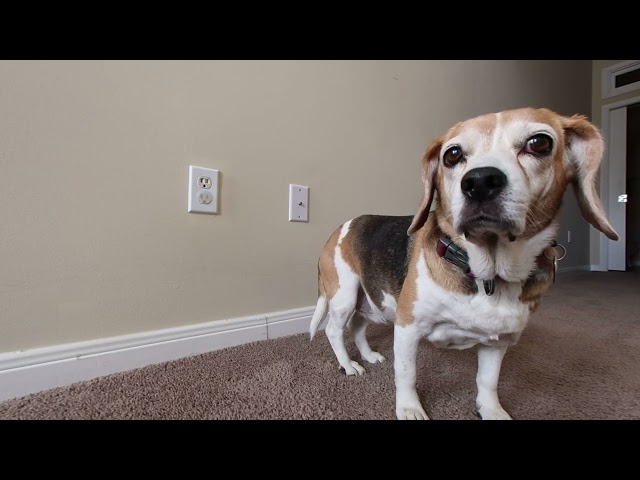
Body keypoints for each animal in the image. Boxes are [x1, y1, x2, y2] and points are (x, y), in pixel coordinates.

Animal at [310, 108, 620, 420]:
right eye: (452, 154)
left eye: (539, 143)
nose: (480, 182)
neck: (486, 273)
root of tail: (339, 228)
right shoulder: (408, 327)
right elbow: (407, 374)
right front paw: (410, 409)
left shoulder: (499, 340)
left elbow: (487, 381)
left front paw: (491, 411)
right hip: (344, 296)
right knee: (334, 331)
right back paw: (348, 365)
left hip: (369, 300)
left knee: (357, 327)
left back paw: (368, 355)